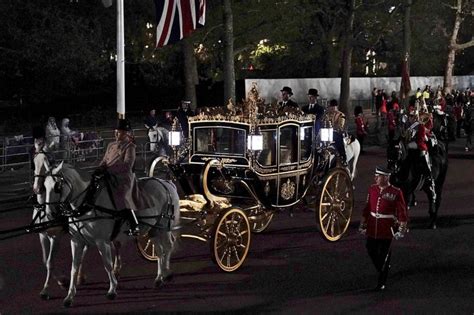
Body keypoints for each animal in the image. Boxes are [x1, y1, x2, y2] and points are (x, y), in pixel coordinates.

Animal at [42, 162, 181, 308]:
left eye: (57, 186)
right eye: (44, 186)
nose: (49, 214)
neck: (89, 205)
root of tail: (166, 183)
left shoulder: (102, 241)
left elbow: (107, 264)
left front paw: (112, 290)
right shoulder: (76, 241)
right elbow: (74, 267)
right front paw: (69, 296)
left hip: (163, 226)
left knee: (168, 246)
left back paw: (167, 273)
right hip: (153, 229)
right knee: (159, 251)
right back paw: (159, 278)